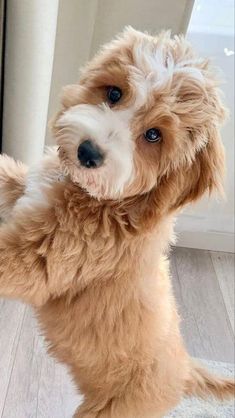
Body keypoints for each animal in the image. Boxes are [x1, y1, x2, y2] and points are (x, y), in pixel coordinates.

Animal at [0, 27, 233, 416]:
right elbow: (9, 176)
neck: (113, 203)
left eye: (154, 135)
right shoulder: (25, 191)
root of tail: (186, 370)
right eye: (113, 93)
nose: (88, 153)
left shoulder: (40, 260)